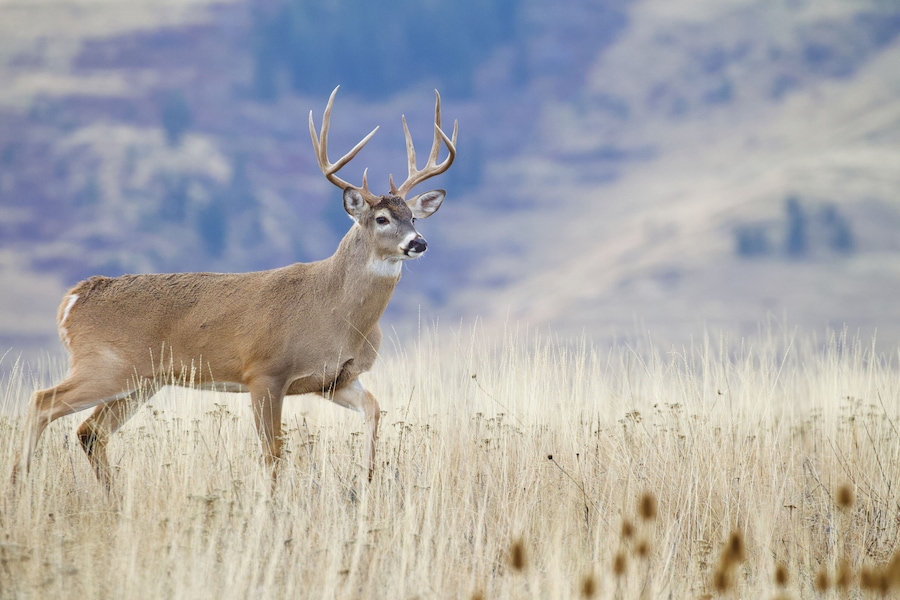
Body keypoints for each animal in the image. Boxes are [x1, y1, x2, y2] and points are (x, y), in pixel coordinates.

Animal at [13, 86, 457, 490]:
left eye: (414, 217)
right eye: (382, 219)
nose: (418, 242)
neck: (336, 312)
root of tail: (73, 300)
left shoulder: (335, 380)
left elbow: (375, 411)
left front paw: (366, 480)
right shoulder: (264, 371)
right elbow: (272, 453)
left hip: (141, 380)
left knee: (90, 432)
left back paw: (112, 499)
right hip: (105, 364)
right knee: (41, 402)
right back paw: (21, 485)